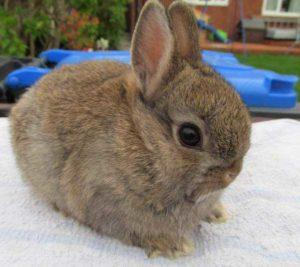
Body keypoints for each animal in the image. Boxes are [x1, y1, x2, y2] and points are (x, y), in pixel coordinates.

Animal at [9, 0, 251, 260]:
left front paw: (216, 213)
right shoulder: (105, 200)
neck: (146, 140)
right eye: (189, 135)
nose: (233, 173)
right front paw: (173, 246)